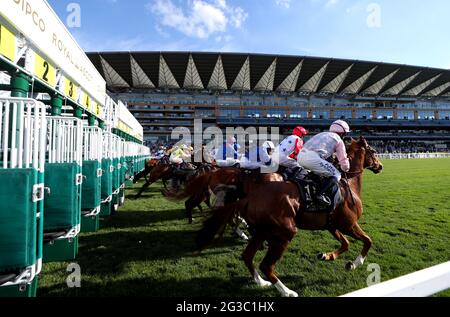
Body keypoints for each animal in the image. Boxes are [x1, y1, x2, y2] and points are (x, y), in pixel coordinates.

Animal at [197, 137, 384, 298]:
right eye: (373, 151)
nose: (380, 166)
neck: (347, 184)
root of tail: (250, 197)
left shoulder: (332, 225)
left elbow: (345, 244)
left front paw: (327, 256)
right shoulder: (349, 224)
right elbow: (368, 241)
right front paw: (354, 263)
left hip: (263, 231)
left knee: (248, 255)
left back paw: (261, 281)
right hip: (285, 232)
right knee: (266, 265)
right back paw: (287, 291)